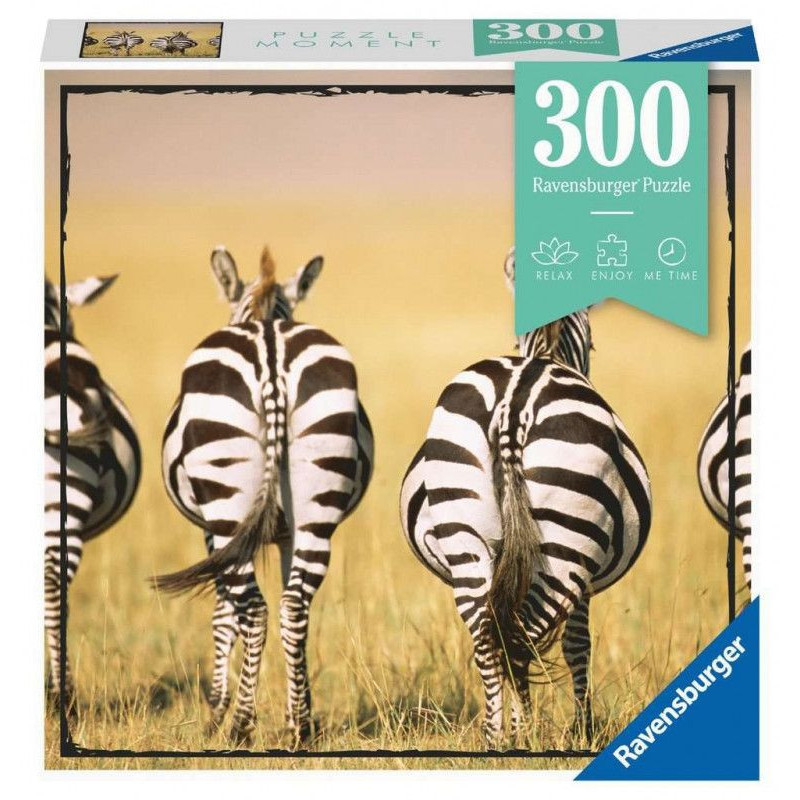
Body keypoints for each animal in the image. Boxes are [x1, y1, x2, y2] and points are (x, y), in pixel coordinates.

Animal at [154, 245, 374, 746]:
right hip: (316, 506)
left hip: (226, 504)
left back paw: (239, 726)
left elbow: (223, 614)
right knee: (294, 606)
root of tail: (271, 349)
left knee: (253, 610)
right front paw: (298, 711)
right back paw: (301, 730)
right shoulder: (289, 533)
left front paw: (215, 712)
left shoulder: (211, 534)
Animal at [399, 250, 651, 747]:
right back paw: (524, 734)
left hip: (465, 536)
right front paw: (582, 729)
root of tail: (515, 399)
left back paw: (496, 737)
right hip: (567, 546)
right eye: (594, 347)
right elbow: (578, 645)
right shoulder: (585, 583)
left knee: (488, 636)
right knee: (521, 636)